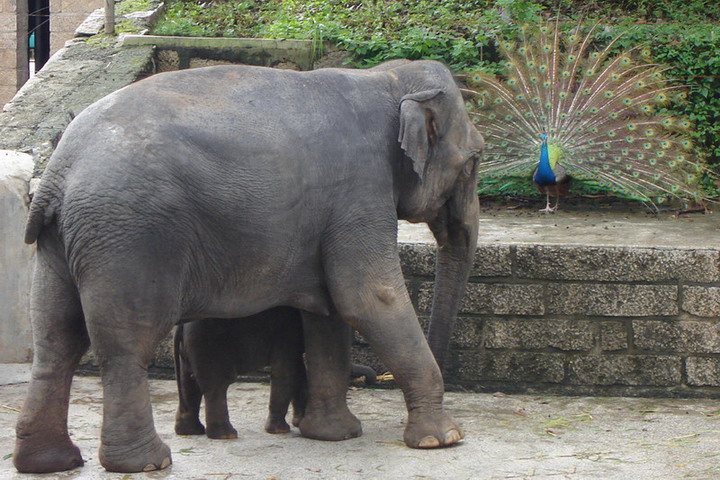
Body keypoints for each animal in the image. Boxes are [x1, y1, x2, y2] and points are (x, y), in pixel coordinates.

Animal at [177, 308, 310, 438]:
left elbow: (297, 369)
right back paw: (227, 435)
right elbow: (286, 370)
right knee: (217, 384)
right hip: (208, 346)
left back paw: (190, 431)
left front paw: (297, 423)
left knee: (188, 382)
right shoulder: (287, 331)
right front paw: (282, 430)